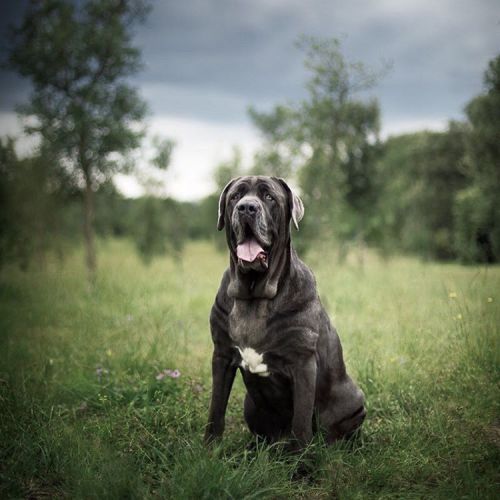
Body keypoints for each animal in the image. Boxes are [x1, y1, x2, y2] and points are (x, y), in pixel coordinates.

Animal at [205, 176, 366, 450]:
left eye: (269, 197)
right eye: (236, 196)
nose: (247, 208)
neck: (255, 295)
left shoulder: (303, 364)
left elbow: (301, 423)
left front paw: (302, 461)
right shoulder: (222, 356)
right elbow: (216, 410)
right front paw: (209, 450)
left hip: (354, 400)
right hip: (250, 404)